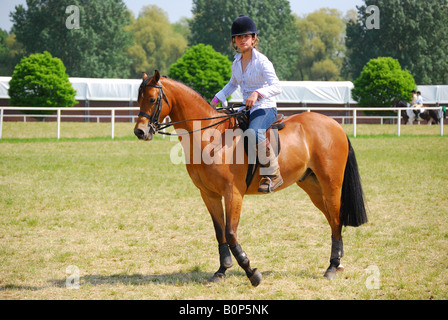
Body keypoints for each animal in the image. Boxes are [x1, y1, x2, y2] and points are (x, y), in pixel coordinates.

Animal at [134, 71, 368, 286]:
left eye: (152, 99)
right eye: (138, 99)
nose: (139, 131)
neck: (212, 137)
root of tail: (335, 125)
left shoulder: (233, 193)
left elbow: (230, 233)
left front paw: (250, 271)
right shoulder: (209, 195)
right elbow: (220, 232)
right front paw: (222, 270)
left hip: (331, 185)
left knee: (336, 219)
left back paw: (332, 267)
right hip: (313, 187)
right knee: (334, 220)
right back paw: (338, 263)